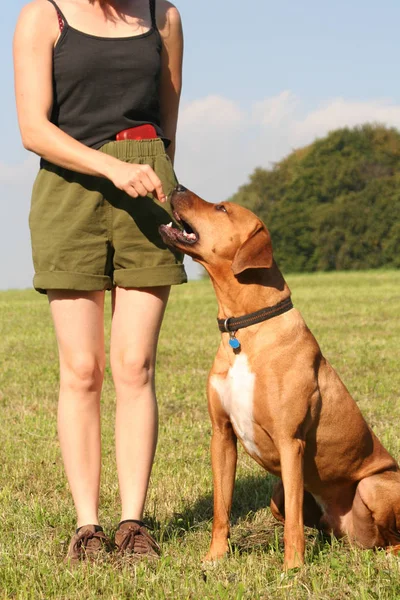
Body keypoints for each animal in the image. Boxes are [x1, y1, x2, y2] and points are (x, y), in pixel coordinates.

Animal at [159, 185, 400, 568]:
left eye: (221, 208)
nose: (178, 187)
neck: (245, 327)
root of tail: (353, 535)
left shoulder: (290, 441)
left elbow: (294, 526)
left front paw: (293, 568)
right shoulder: (221, 435)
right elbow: (221, 509)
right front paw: (215, 558)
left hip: (372, 485)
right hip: (278, 496)